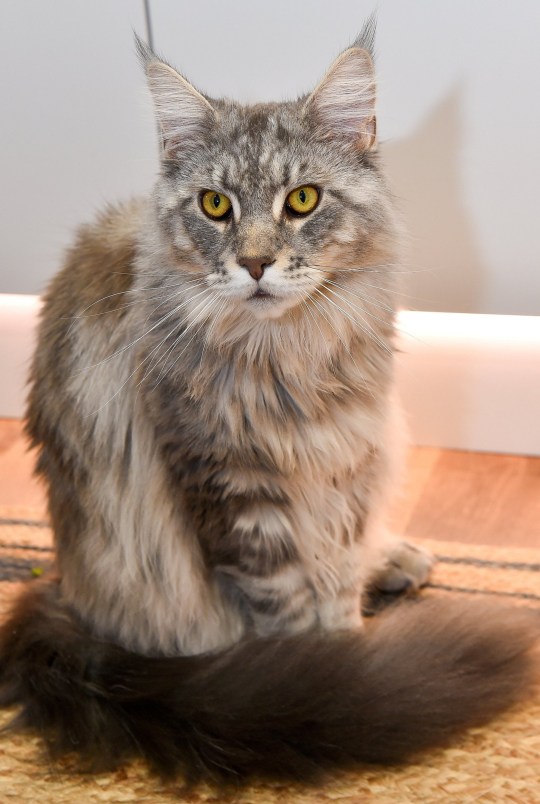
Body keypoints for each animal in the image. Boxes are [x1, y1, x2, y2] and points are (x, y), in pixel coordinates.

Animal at [0, 18, 536, 784]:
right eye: (215, 206)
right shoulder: (231, 488)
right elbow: (285, 609)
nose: (254, 262)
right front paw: (332, 687)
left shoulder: (346, 460)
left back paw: (397, 564)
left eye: (303, 201)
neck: (289, 357)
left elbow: (336, 579)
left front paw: (348, 657)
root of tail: (64, 596)